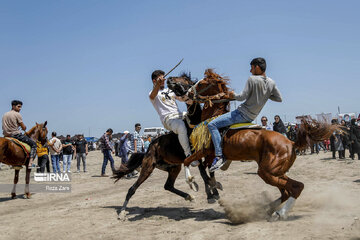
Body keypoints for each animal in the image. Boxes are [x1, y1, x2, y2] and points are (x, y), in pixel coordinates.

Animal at [112, 72, 222, 219]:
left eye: (185, 79)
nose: (169, 79)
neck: (194, 125)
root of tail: (149, 148)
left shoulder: (209, 153)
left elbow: (210, 171)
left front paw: (214, 191)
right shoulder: (196, 155)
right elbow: (203, 173)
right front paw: (211, 195)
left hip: (174, 167)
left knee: (168, 185)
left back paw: (189, 196)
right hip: (148, 167)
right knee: (132, 189)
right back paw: (122, 212)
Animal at [170, 69, 338, 221]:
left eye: (200, 83)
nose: (187, 93)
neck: (212, 117)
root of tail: (291, 142)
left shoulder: (206, 150)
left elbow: (189, 162)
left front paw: (193, 183)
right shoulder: (210, 155)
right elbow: (205, 169)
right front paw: (214, 187)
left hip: (267, 172)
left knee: (296, 187)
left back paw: (279, 213)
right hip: (276, 172)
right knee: (287, 191)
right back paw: (268, 209)